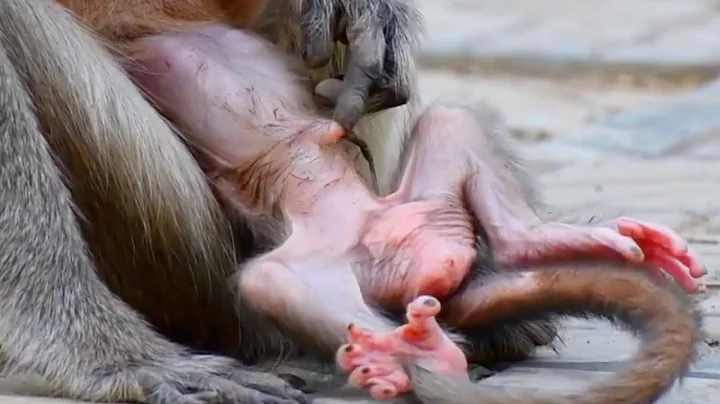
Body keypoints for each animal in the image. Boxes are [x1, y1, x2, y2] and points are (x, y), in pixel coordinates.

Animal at [125, 23, 704, 403]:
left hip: (416, 202)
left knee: (449, 121)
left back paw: (536, 242)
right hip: (336, 256)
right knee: (272, 280)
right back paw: (432, 353)